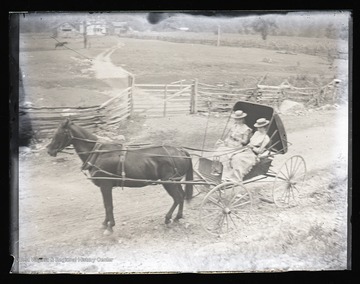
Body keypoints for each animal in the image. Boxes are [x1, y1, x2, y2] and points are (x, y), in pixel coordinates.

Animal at [48, 117, 194, 235]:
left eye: (59, 133)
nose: (49, 150)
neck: (98, 153)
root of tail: (181, 151)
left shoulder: (106, 185)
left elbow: (109, 205)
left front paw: (110, 227)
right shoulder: (104, 187)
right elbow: (106, 205)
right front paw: (105, 223)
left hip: (168, 182)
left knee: (177, 198)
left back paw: (168, 218)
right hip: (175, 181)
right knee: (181, 196)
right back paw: (177, 217)